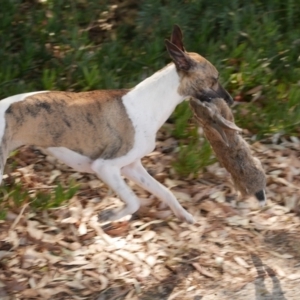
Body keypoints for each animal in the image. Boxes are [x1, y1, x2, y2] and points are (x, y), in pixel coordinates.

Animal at [0, 25, 232, 223]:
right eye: (214, 79)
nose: (230, 100)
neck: (146, 103)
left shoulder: (132, 167)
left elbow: (165, 191)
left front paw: (184, 215)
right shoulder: (106, 167)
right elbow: (134, 201)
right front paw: (110, 216)